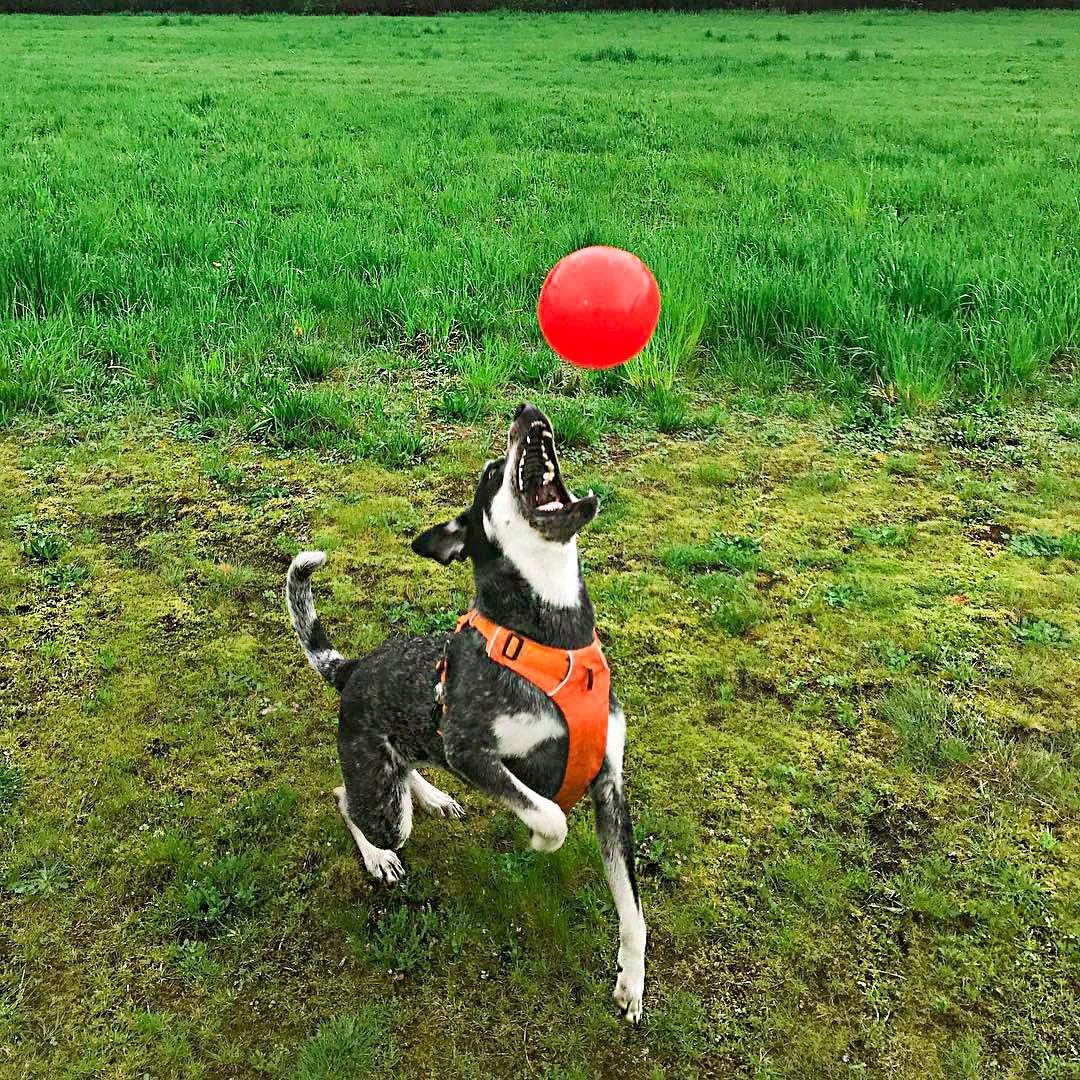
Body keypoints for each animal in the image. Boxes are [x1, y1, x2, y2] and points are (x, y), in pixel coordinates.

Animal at [282, 403, 643, 1019]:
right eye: (493, 475)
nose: (527, 410)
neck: (556, 639)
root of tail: (350, 669)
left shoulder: (610, 788)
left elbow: (634, 915)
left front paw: (631, 986)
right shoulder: (472, 751)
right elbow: (551, 815)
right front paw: (538, 841)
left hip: (405, 758)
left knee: (402, 771)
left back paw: (433, 794)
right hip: (383, 803)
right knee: (345, 799)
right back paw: (379, 856)